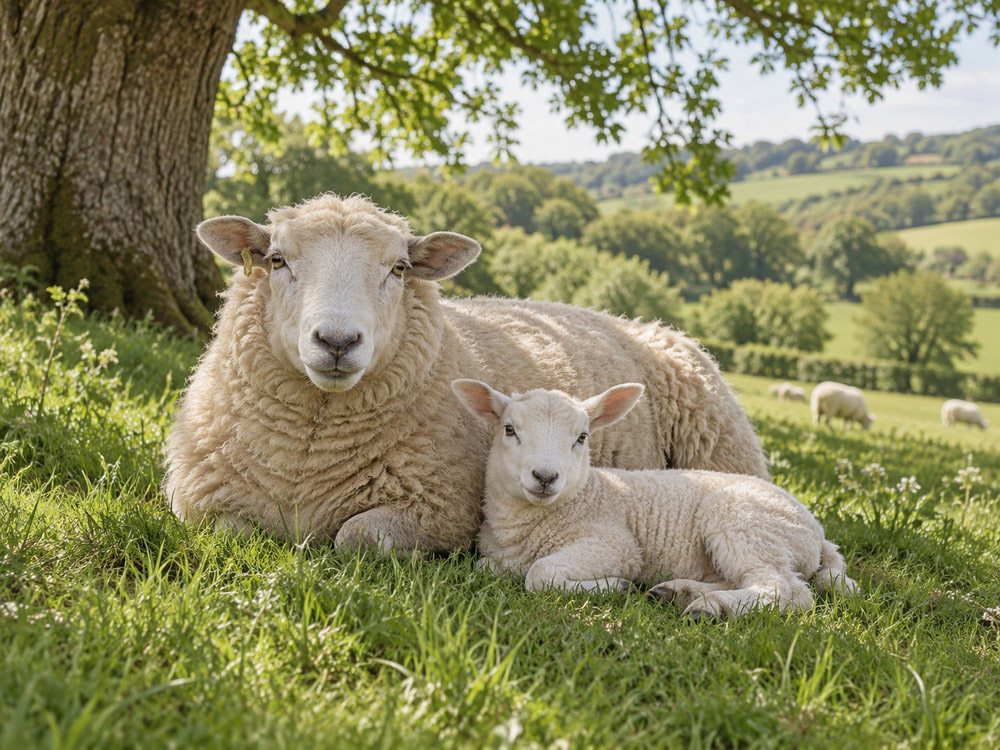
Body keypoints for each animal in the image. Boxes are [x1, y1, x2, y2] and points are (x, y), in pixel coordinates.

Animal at [164, 192, 769, 554]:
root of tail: (638, 322)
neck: (306, 460)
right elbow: (233, 534)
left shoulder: (442, 511)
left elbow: (356, 536)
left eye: (399, 268)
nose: (337, 342)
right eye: (277, 260)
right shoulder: (199, 502)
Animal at [452, 379, 856, 618]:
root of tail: (818, 533)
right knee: (750, 580)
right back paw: (677, 592)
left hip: (746, 524)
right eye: (509, 429)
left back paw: (711, 607)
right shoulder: (494, 559)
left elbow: (539, 574)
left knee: (786, 591)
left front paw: (615, 586)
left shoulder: (615, 545)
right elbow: (488, 567)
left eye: (582, 437)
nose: (545, 477)